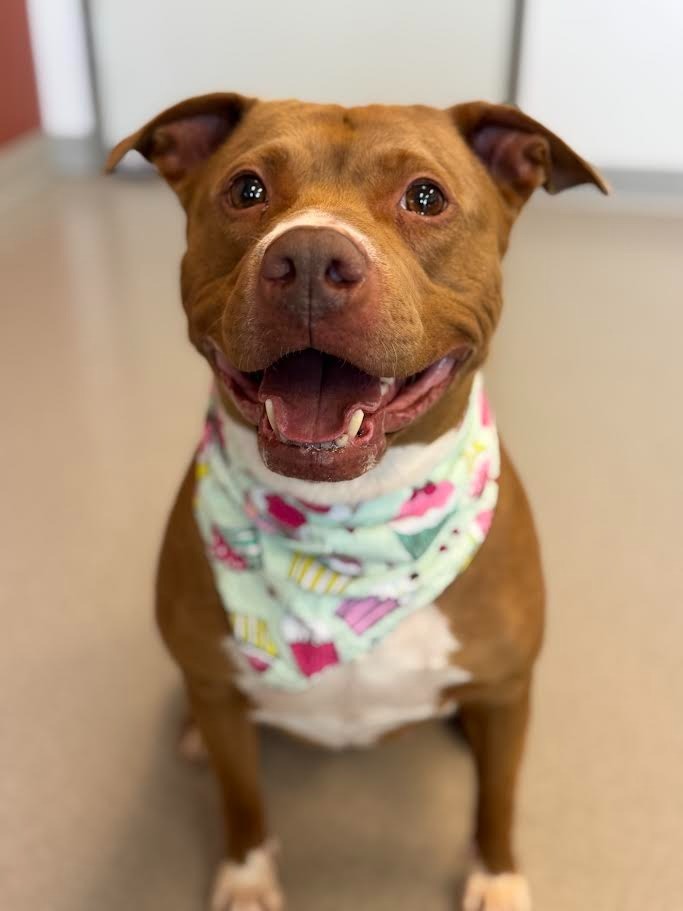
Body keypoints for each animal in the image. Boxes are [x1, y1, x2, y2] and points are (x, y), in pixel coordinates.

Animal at [105, 94, 604, 911]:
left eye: (425, 197)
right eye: (246, 189)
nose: (309, 259)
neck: (343, 532)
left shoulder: (507, 694)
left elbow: (495, 802)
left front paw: (496, 877)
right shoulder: (222, 701)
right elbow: (242, 799)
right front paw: (247, 875)